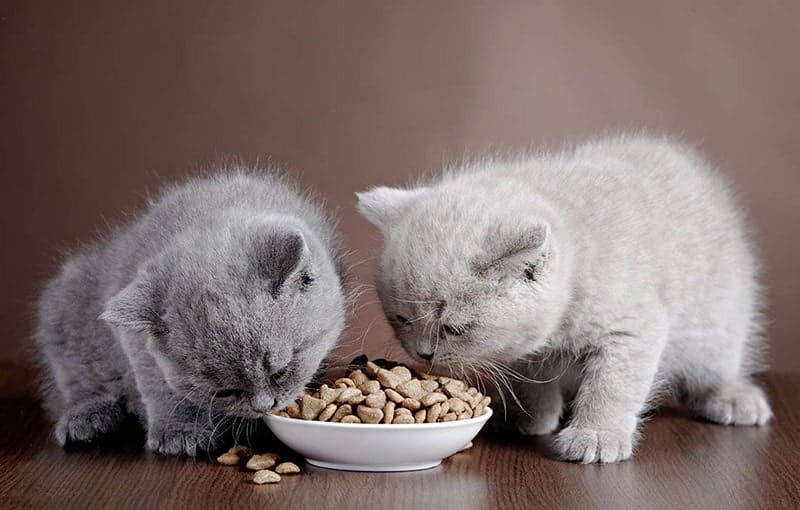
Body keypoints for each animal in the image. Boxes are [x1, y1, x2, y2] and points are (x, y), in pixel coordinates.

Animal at [36, 169, 346, 456]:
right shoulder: (135, 341)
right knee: (77, 385)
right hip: (63, 311)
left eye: (280, 372)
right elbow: (157, 383)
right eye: (225, 392)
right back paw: (87, 420)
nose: (264, 407)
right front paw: (179, 431)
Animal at [356, 134, 768, 462]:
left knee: (716, 366)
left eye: (454, 329)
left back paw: (734, 398)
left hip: (716, 324)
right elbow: (531, 378)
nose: (422, 353)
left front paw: (597, 436)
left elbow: (611, 387)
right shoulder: (525, 348)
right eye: (401, 320)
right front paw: (531, 418)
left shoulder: (632, 329)